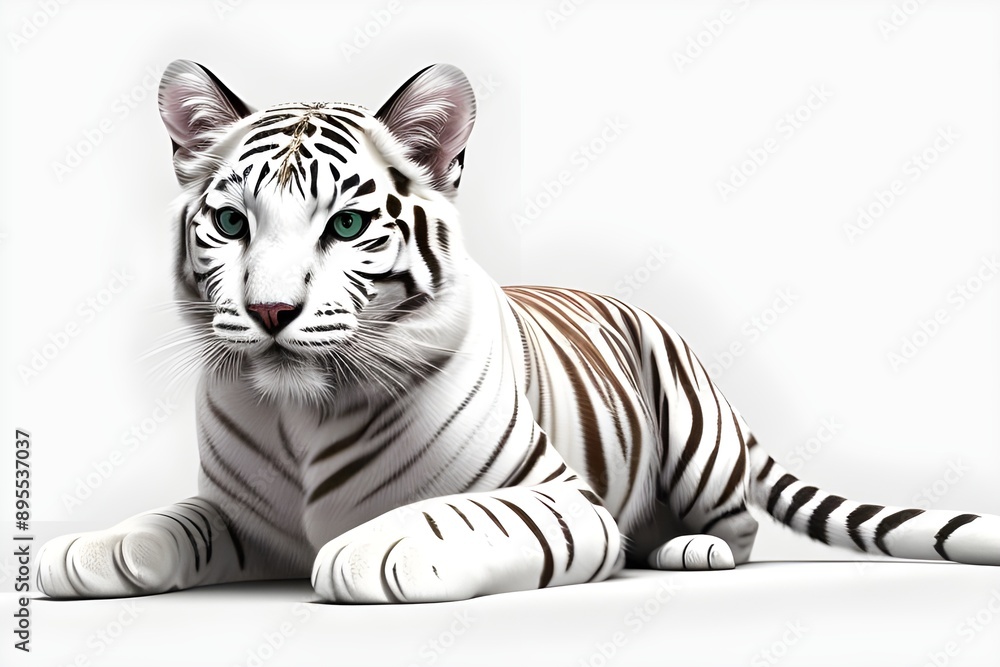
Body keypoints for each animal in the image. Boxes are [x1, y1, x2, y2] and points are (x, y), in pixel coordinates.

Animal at [36, 60, 1000, 603]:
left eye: (345, 226)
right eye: (232, 223)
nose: (272, 313)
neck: (301, 411)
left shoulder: (558, 497)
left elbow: (453, 513)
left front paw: (374, 547)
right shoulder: (244, 516)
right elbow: (174, 522)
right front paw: (89, 548)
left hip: (695, 440)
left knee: (736, 529)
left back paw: (689, 548)